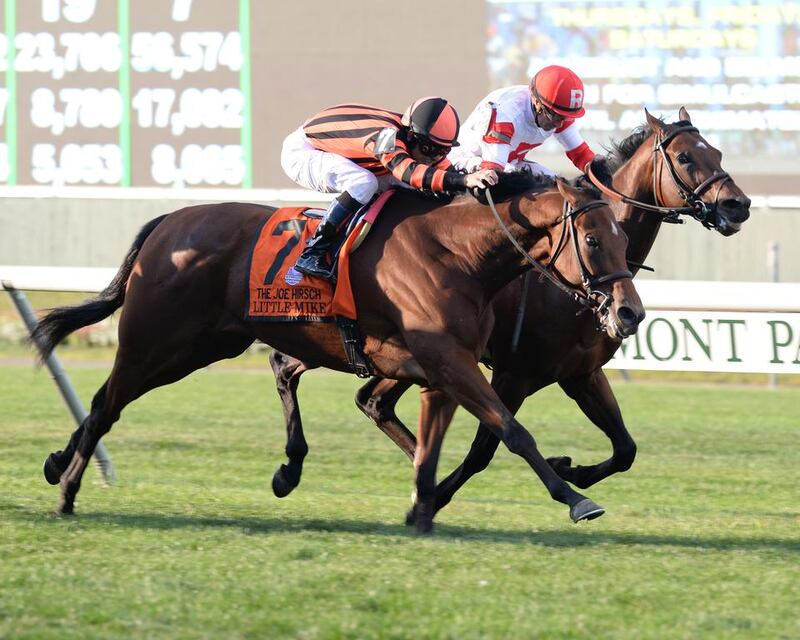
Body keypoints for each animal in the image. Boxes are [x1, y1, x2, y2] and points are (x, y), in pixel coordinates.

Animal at [36, 174, 644, 528]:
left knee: (109, 399)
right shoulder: (466, 364)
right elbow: (510, 433)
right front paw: (574, 495)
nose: (629, 313)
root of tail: (169, 220)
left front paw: (424, 506)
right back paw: (67, 489)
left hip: (205, 345)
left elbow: (443, 444)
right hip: (158, 342)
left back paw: (60, 466)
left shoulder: (449, 366)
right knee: (108, 404)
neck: (459, 254)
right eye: (593, 240)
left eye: (622, 237)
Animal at [264, 106, 752, 524]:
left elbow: (625, 447)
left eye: (718, 152)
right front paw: (439, 496)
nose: (738, 205)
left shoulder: (580, 373)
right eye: (686, 157)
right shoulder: (513, 374)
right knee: (292, 367)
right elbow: (488, 446)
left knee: (365, 398)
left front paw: (570, 469)